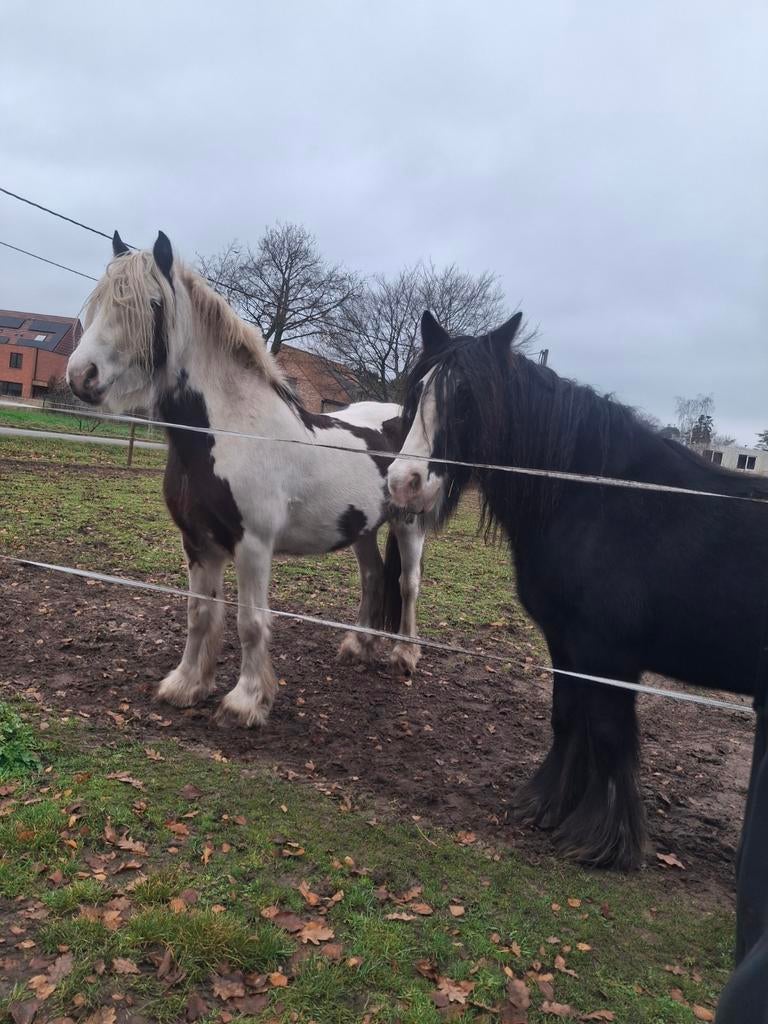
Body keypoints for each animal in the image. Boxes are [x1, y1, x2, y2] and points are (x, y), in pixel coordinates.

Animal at [66, 230, 427, 727]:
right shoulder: (198, 541)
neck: (232, 430)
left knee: (408, 585)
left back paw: (404, 656)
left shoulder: (252, 545)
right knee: (373, 575)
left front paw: (247, 701)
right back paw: (358, 645)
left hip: (409, 525)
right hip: (362, 528)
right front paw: (186, 685)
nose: (81, 375)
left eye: (152, 304)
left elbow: (250, 622)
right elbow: (200, 612)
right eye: (100, 300)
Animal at [387, 309, 768, 870]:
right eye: (418, 392)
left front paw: (603, 841)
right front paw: (545, 805)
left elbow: (609, 733)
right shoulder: (565, 644)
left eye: (467, 396)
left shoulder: (608, 655)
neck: (598, 500)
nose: (404, 484)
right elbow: (567, 717)